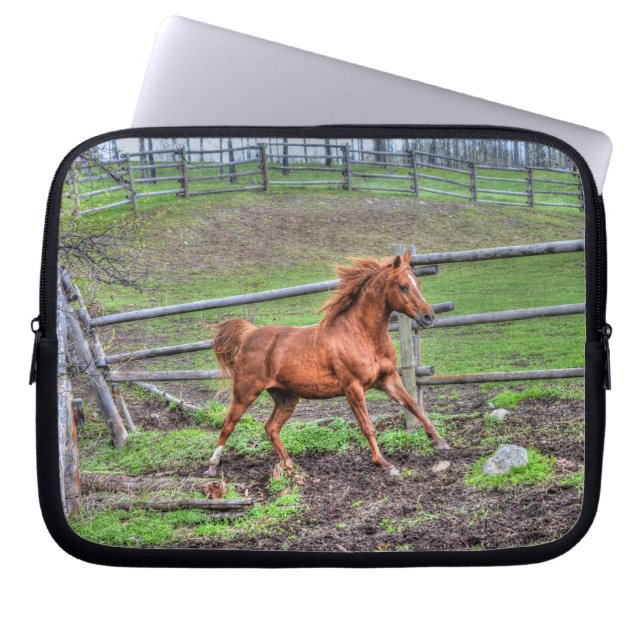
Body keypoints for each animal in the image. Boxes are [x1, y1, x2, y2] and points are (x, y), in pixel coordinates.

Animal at [206, 249, 450, 479]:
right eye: (403, 286)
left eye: (418, 283)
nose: (428, 317)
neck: (362, 336)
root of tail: (248, 335)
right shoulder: (353, 388)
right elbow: (367, 426)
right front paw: (384, 463)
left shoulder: (388, 379)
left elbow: (414, 405)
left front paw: (440, 442)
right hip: (245, 392)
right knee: (229, 424)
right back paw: (212, 467)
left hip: (286, 398)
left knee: (271, 427)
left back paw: (290, 465)